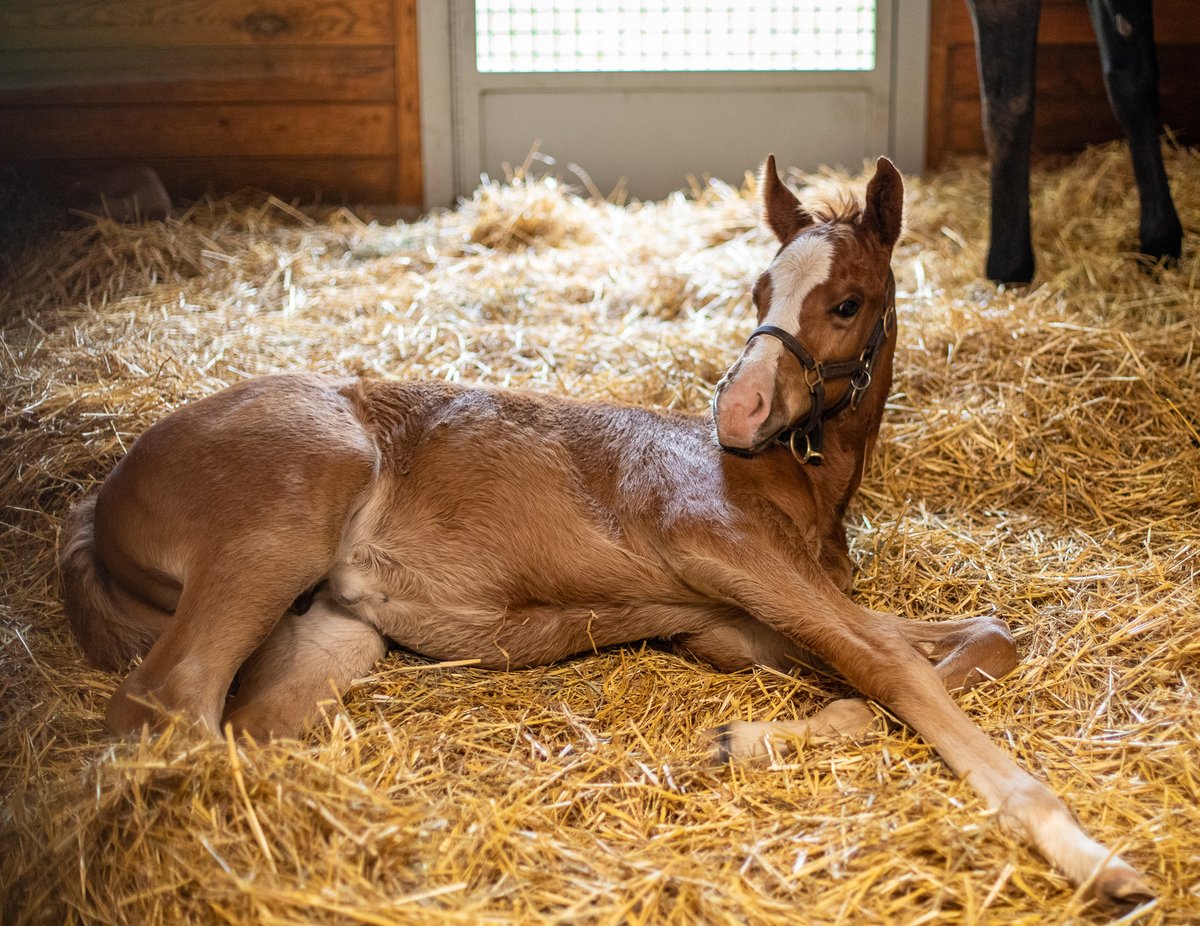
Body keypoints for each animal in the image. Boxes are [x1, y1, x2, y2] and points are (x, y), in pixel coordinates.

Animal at [63, 155, 1152, 902]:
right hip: (278, 524)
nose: (739, 411)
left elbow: (969, 643)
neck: (787, 490)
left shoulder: (737, 622)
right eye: (760, 292)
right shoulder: (729, 554)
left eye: (846, 301)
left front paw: (746, 738)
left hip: (334, 629)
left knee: (236, 723)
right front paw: (1093, 855)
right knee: (166, 704)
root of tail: (96, 504)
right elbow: (893, 666)